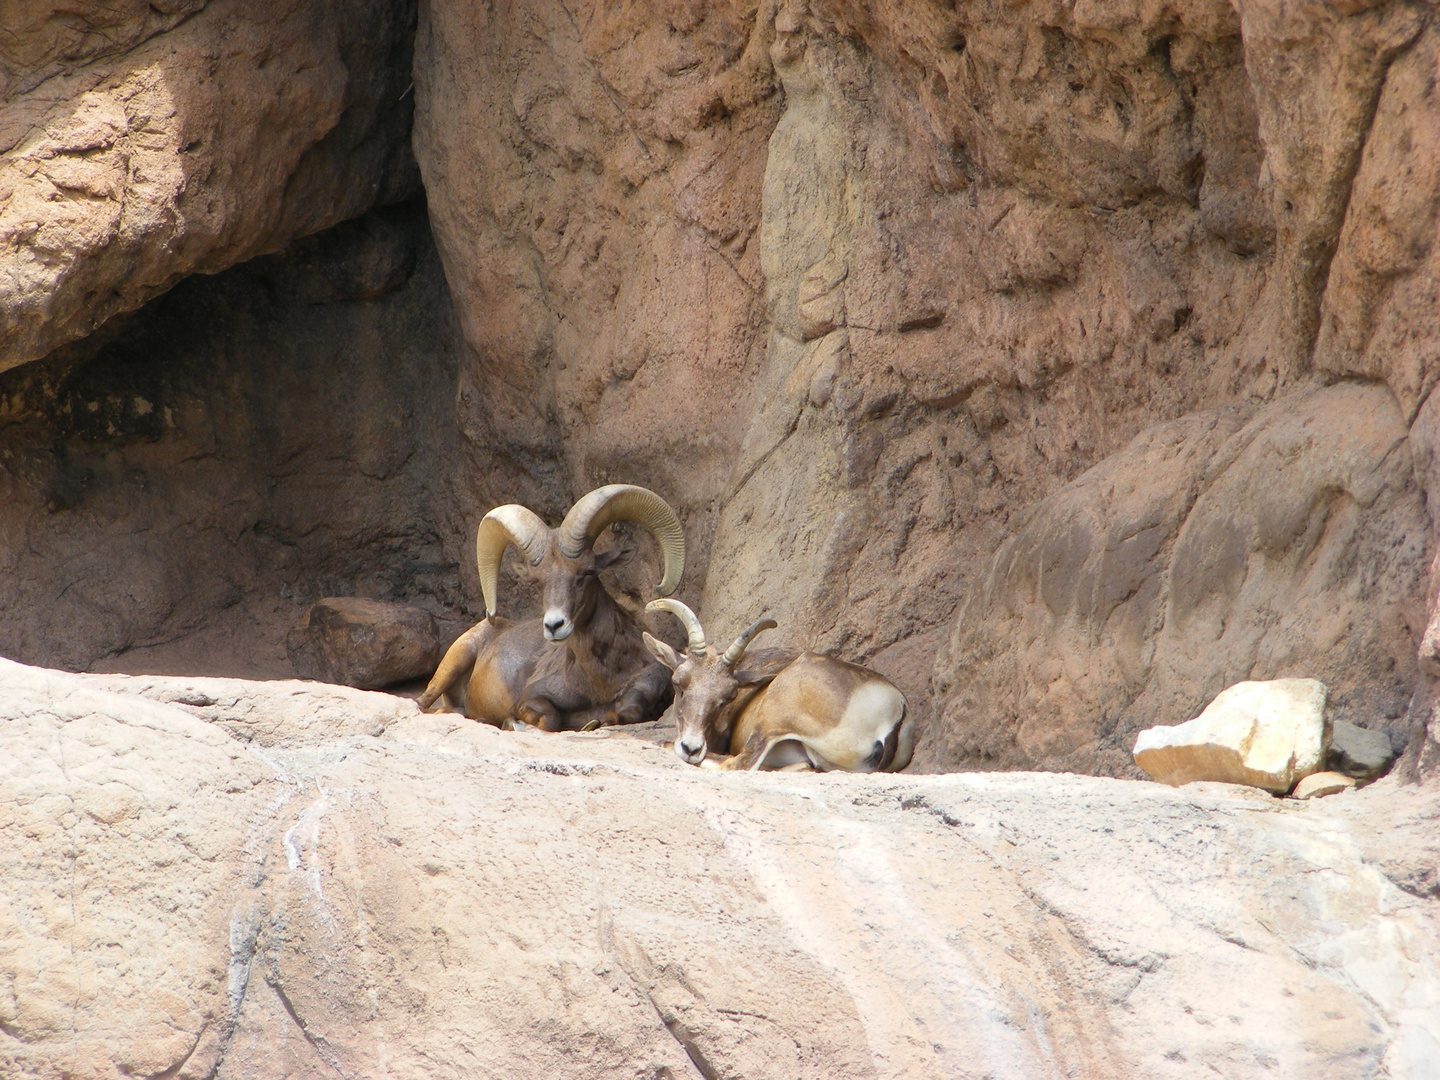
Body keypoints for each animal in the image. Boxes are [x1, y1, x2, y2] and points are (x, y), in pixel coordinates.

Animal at [417, 486, 685, 731]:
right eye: (538, 581)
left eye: (588, 571)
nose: (554, 626)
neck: (599, 684)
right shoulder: (531, 698)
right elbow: (551, 719)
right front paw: (512, 723)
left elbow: (625, 713)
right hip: (455, 660)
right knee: (423, 705)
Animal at [642, 601, 910, 771]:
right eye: (679, 684)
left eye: (727, 697)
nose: (691, 748)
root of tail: (895, 713)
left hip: (771, 723)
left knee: (739, 765)